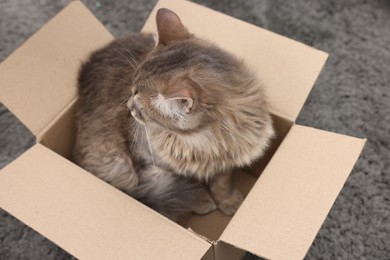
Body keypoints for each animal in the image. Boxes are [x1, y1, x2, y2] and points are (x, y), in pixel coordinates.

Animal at [73, 7, 274, 219]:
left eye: (140, 107)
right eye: (131, 90)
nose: (128, 106)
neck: (204, 142)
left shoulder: (227, 161)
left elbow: (221, 182)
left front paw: (227, 200)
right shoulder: (148, 159)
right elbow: (179, 184)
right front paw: (200, 200)